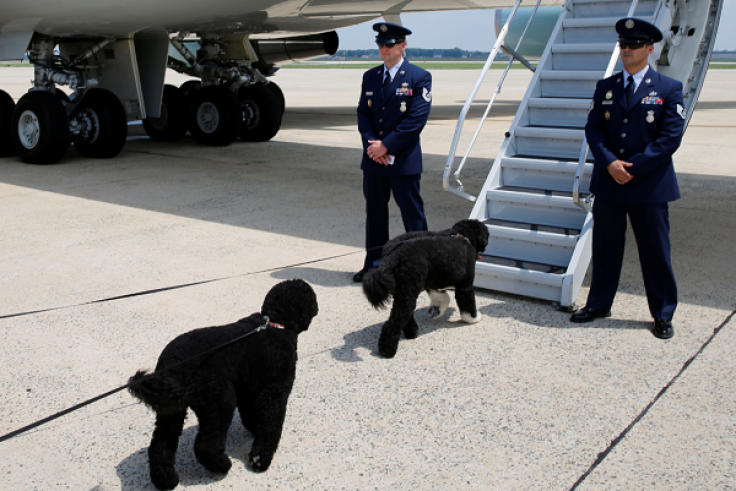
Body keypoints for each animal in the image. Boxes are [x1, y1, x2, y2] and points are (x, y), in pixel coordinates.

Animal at [129, 278, 316, 490]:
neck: (275, 322)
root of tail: (173, 365)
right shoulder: (274, 391)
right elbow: (270, 425)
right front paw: (260, 458)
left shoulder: (247, 389)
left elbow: (250, 415)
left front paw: (253, 429)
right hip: (218, 402)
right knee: (205, 446)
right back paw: (222, 465)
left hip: (171, 411)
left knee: (160, 446)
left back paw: (166, 480)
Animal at [362, 221, 488, 360]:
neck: (463, 236)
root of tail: (394, 255)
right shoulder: (465, 286)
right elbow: (468, 305)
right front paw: (473, 318)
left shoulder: (432, 283)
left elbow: (442, 298)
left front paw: (437, 311)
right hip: (408, 292)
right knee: (393, 323)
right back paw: (387, 350)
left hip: (404, 292)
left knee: (406, 316)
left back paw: (412, 333)